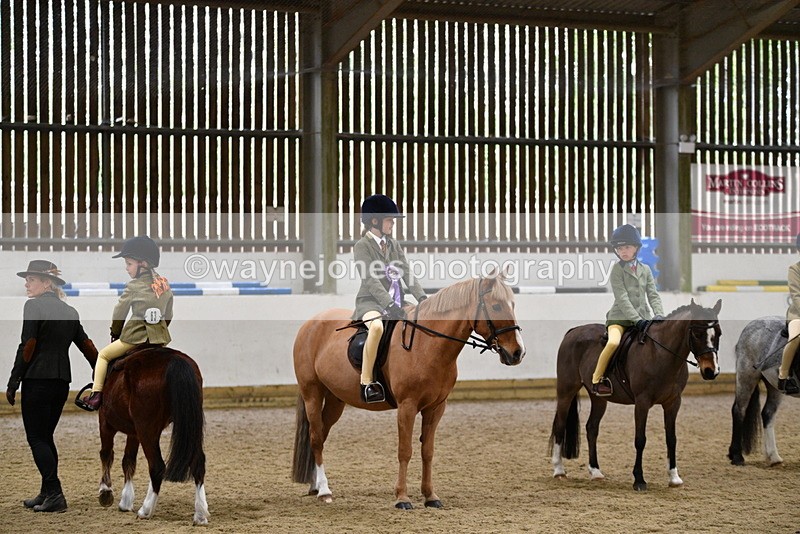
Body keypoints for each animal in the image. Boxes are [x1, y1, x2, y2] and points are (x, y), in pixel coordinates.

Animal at [79, 346, 209, 525]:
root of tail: (174, 360)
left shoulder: (105, 423)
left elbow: (106, 454)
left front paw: (105, 492)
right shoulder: (134, 433)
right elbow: (128, 460)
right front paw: (125, 501)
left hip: (147, 430)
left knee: (157, 466)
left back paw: (145, 510)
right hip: (188, 425)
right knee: (198, 464)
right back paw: (200, 514)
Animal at [291, 273, 526, 509]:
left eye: (513, 305)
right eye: (496, 306)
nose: (518, 353)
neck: (426, 345)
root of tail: (310, 324)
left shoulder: (436, 408)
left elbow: (427, 452)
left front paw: (430, 496)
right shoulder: (407, 406)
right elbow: (405, 451)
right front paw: (402, 498)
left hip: (335, 400)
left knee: (322, 434)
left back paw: (315, 486)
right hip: (312, 394)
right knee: (316, 438)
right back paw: (324, 491)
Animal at [549, 299, 722, 491]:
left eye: (719, 334)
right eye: (697, 334)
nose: (711, 371)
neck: (660, 354)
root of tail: (573, 331)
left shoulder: (673, 402)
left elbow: (671, 439)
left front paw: (674, 477)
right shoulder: (642, 402)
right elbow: (640, 439)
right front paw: (639, 479)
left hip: (599, 398)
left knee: (591, 428)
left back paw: (596, 472)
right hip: (566, 390)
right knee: (560, 425)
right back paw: (559, 470)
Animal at [728, 315, 798, 466]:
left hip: (775, 386)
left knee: (768, 414)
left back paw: (774, 456)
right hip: (746, 376)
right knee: (739, 410)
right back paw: (737, 457)